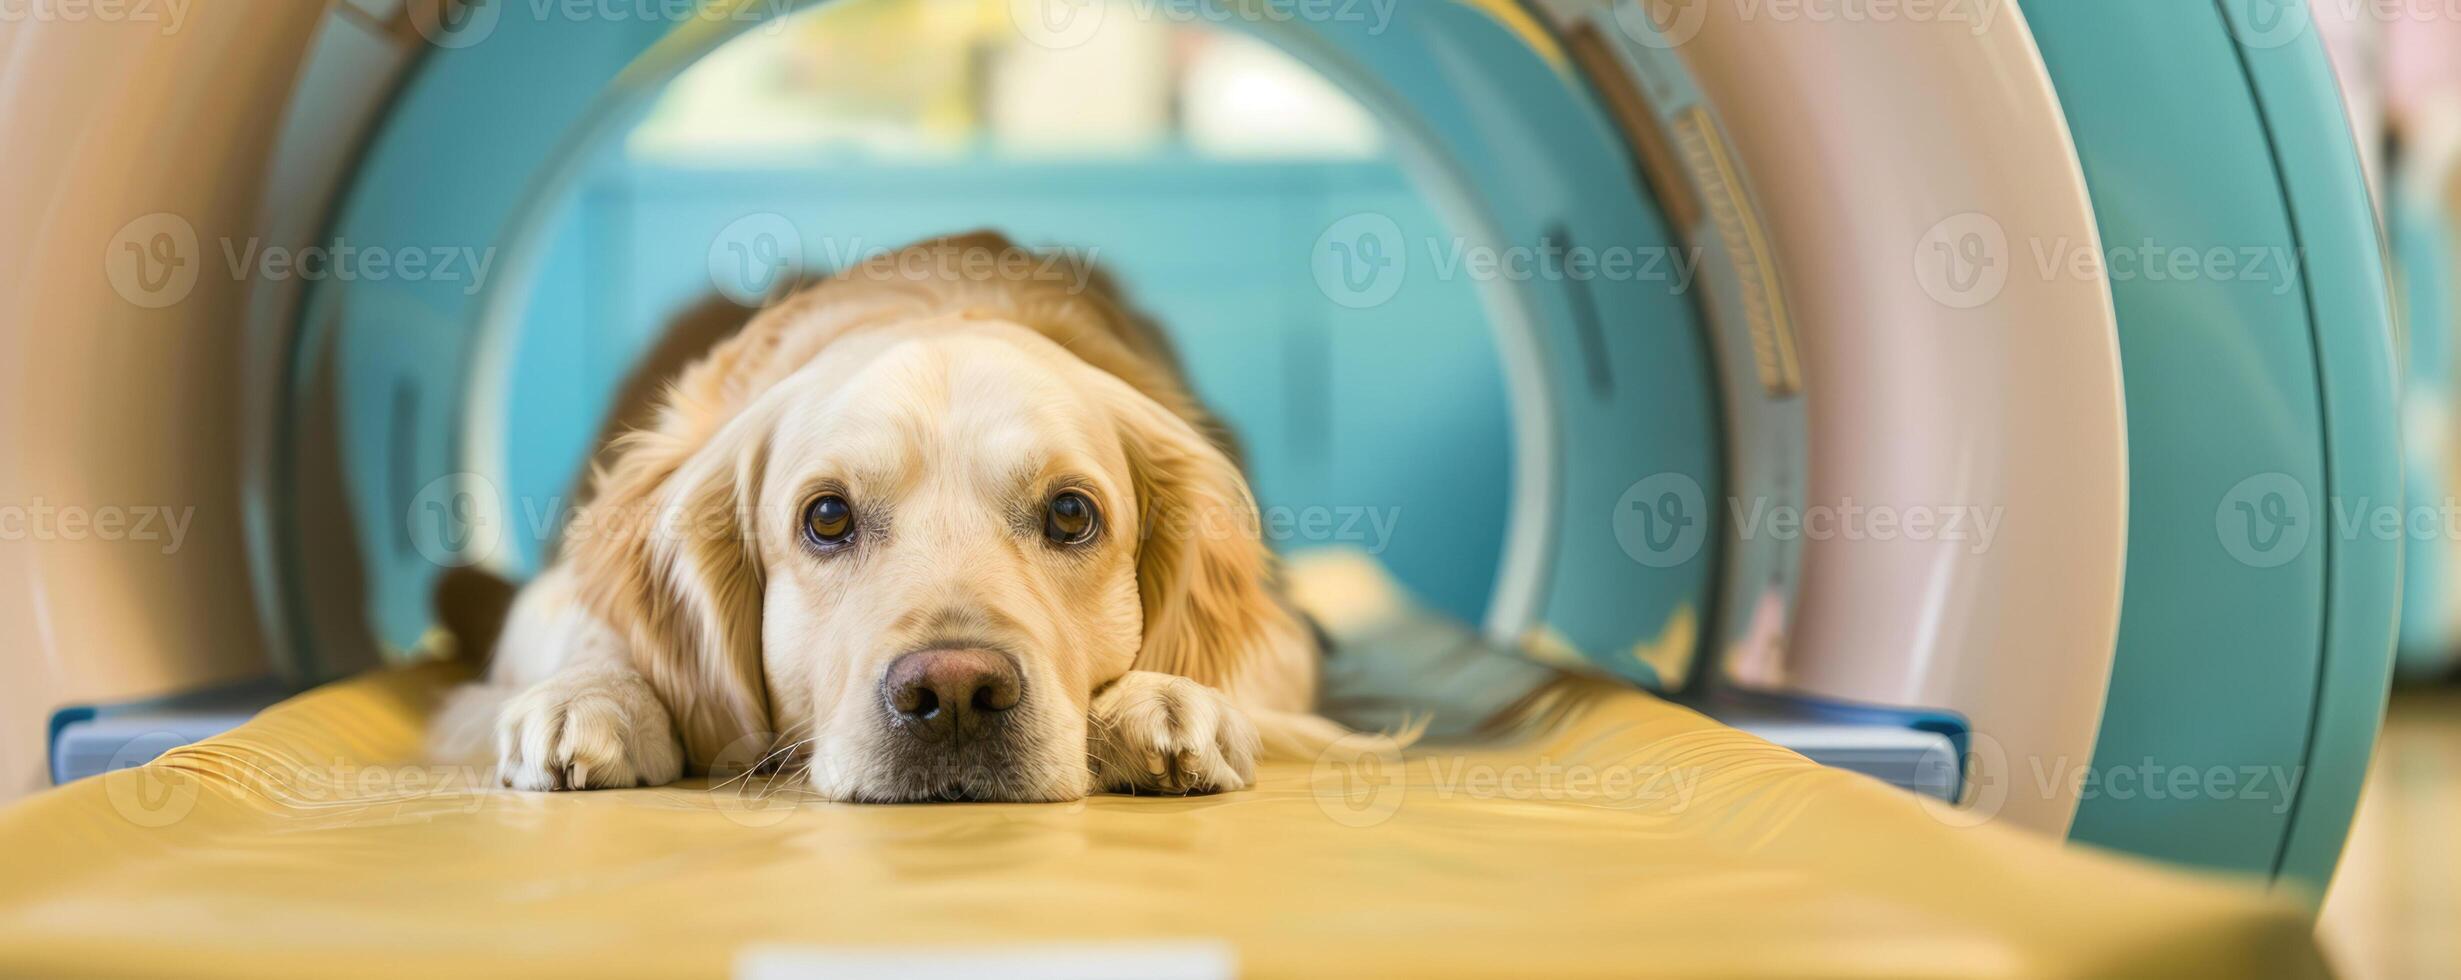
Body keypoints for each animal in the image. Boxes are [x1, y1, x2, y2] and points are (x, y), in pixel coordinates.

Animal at [435, 233, 1358, 797]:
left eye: (1070, 514)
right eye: (826, 518)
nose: (954, 694)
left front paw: (1165, 697)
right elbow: (579, 623)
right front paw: (596, 698)